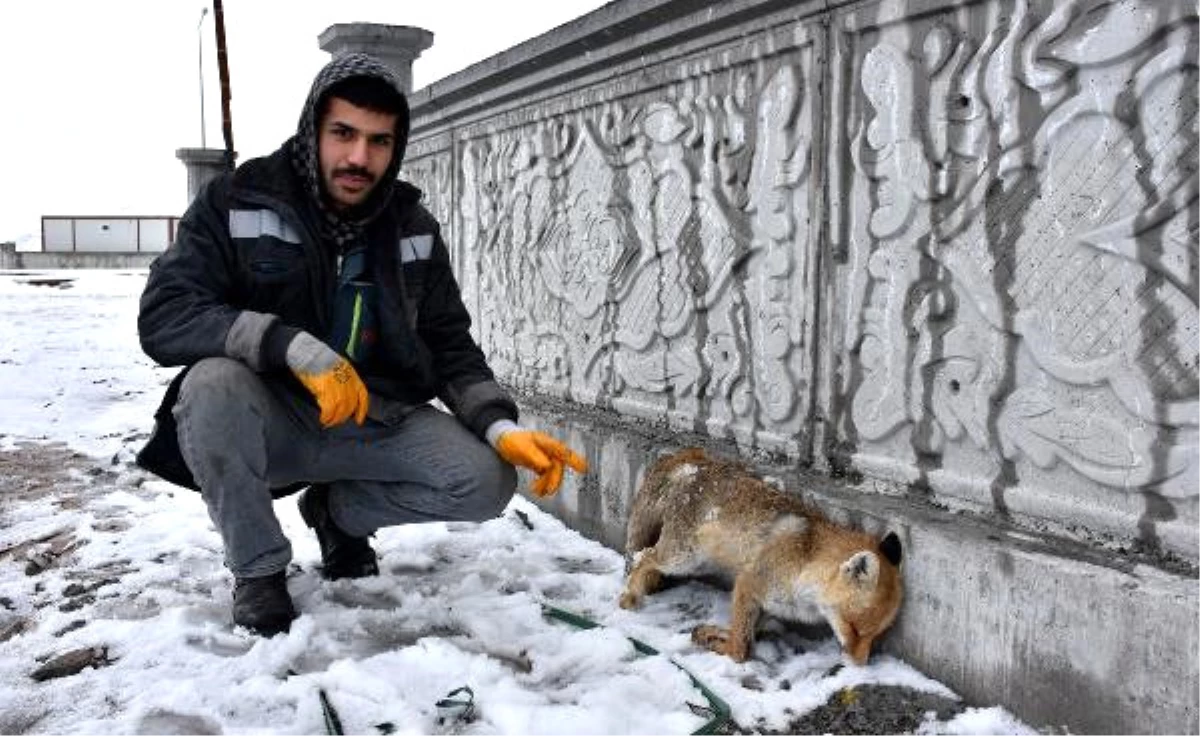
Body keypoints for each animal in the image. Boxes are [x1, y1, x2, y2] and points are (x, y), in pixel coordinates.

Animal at [619, 446, 902, 667]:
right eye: (855, 630)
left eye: (875, 636)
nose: (860, 665)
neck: (806, 566)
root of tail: (694, 459)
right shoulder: (747, 584)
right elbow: (741, 649)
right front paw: (722, 645)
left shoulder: (763, 604)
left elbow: (744, 633)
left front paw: (714, 633)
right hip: (683, 558)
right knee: (643, 557)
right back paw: (630, 596)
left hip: (697, 562)